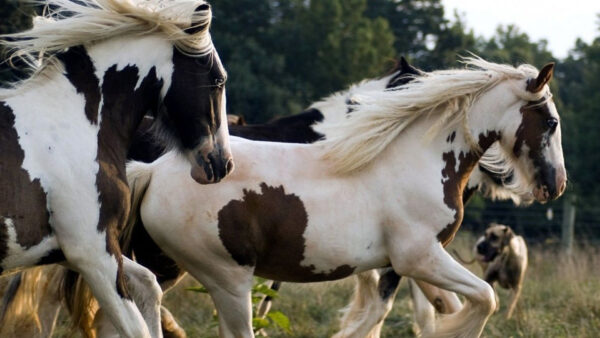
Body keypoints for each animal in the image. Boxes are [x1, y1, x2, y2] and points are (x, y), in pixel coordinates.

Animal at [0, 0, 233, 336]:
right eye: (218, 80)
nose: (222, 163)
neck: (76, 124)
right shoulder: (93, 253)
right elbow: (136, 327)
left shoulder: (68, 250)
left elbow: (149, 284)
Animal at [124, 56, 564, 336]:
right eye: (551, 121)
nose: (555, 184)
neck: (415, 159)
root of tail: (153, 170)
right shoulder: (417, 258)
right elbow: (482, 300)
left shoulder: (397, 265)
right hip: (226, 281)